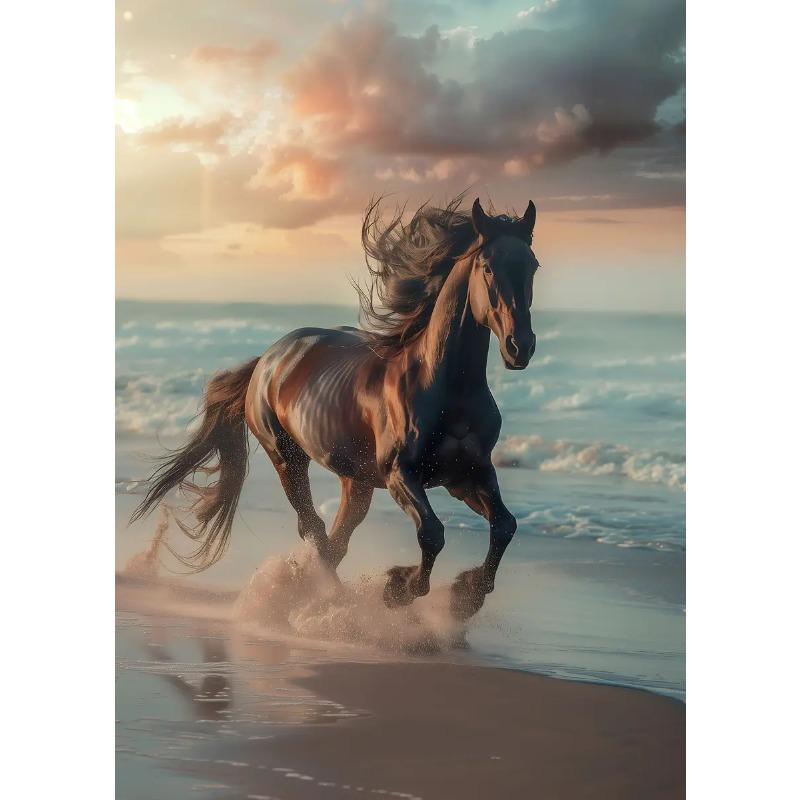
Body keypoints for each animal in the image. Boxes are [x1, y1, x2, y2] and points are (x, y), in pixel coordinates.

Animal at [132, 194, 541, 619]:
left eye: (532, 265)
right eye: (488, 267)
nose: (520, 346)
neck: (445, 389)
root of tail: (268, 359)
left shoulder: (467, 473)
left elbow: (505, 525)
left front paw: (466, 594)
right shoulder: (400, 474)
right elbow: (432, 533)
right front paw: (399, 588)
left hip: (356, 480)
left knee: (335, 540)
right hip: (287, 458)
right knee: (313, 529)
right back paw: (329, 602)